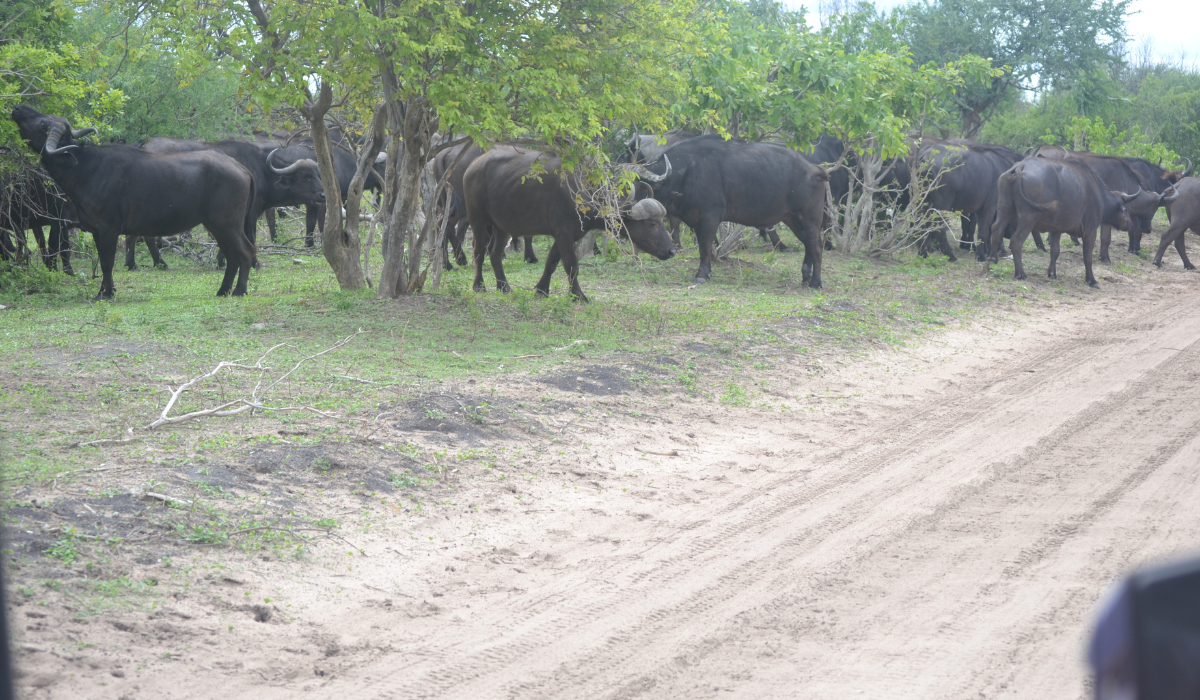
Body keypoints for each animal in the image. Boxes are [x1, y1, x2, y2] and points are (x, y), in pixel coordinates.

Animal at [11, 104, 257, 298]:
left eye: (43, 122)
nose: (18, 107)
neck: (86, 168)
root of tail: (241, 167)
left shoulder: (108, 228)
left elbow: (107, 262)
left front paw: (105, 293)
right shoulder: (96, 231)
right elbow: (104, 260)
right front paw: (107, 290)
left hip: (227, 224)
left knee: (245, 251)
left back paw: (239, 290)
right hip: (217, 226)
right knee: (232, 255)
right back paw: (223, 290)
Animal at [463, 146, 675, 301]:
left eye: (661, 221)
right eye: (652, 224)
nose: (672, 251)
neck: (586, 193)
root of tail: (472, 165)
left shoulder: (567, 235)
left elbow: (551, 262)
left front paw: (541, 290)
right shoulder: (563, 233)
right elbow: (572, 264)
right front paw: (579, 295)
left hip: (503, 226)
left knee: (495, 252)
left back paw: (504, 287)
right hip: (477, 219)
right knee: (478, 250)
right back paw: (479, 286)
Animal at [632, 135, 828, 287]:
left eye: (636, 185)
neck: (686, 172)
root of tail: (815, 169)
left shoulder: (710, 218)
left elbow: (705, 247)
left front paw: (701, 275)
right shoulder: (697, 221)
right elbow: (704, 247)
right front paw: (708, 273)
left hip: (810, 218)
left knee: (817, 245)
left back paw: (816, 283)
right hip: (792, 219)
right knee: (808, 243)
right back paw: (805, 276)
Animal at [988, 156, 1134, 287]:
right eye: (1125, 210)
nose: (1130, 224)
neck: (1099, 196)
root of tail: (1020, 167)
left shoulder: (1055, 229)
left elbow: (1055, 251)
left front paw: (1052, 273)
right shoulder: (1090, 231)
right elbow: (1087, 257)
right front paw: (1091, 280)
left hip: (1005, 211)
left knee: (996, 230)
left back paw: (992, 260)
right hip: (1027, 218)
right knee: (1016, 241)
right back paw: (1020, 273)